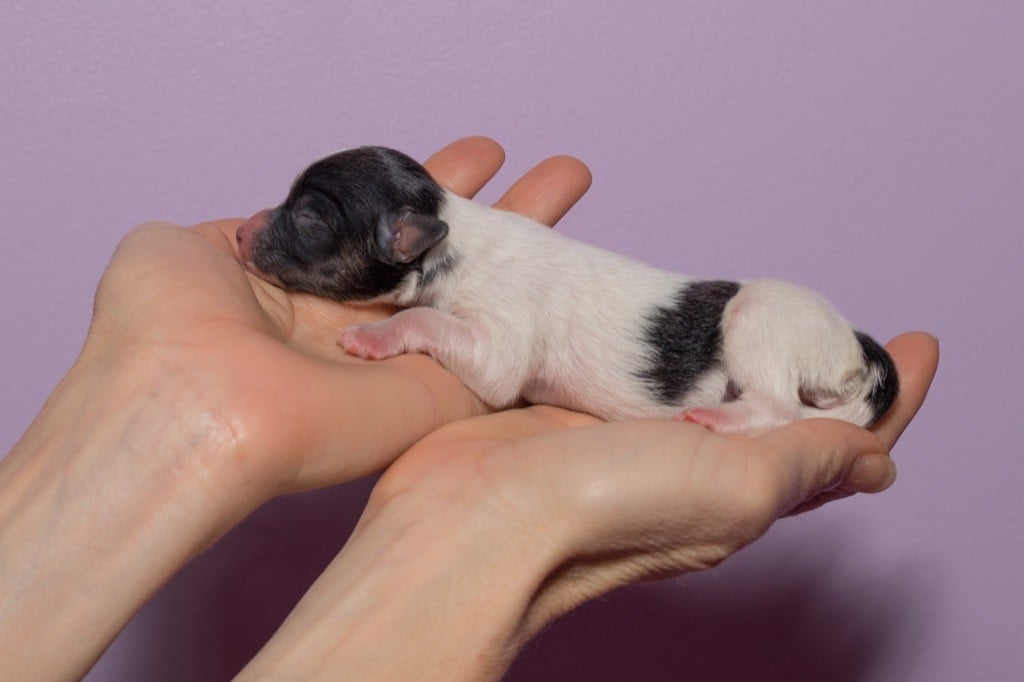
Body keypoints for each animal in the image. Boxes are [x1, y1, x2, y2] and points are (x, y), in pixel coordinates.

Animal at [236, 146, 898, 435]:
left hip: (762, 317)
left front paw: (374, 335)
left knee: (777, 406)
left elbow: (437, 326)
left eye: (310, 217)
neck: (449, 237)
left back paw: (717, 416)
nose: (239, 232)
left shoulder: (498, 339)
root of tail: (852, 346)